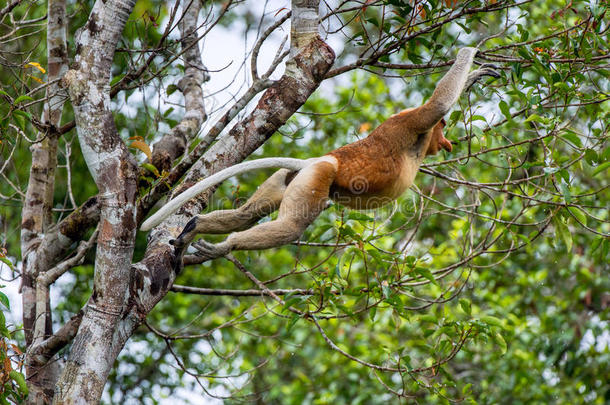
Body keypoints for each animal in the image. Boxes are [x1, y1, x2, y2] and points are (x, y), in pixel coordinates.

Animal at [140, 47, 496, 262]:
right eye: (443, 128)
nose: (446, 142)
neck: (421, 144)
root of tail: (314, 161)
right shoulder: (406, 124)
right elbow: (436, 105)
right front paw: (469, 54)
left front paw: (476, 75)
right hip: (316, 178)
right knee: (290, 226)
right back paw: (225, 245)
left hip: (287, 179)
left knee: (248, 214)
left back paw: (194, 230)